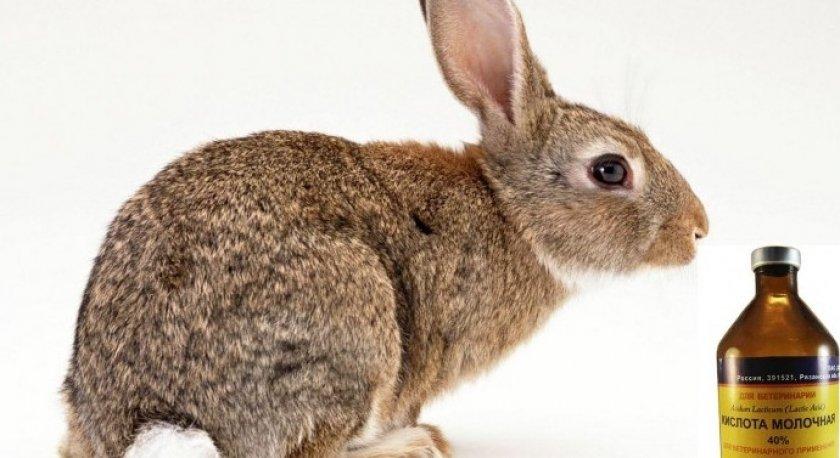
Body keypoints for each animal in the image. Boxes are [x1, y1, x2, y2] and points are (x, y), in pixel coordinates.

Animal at [61, 0, 708, 456]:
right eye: (611, 170)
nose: (699, 228)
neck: (509, 210)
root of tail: (155, 416)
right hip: (354, 326)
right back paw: (413, 444)